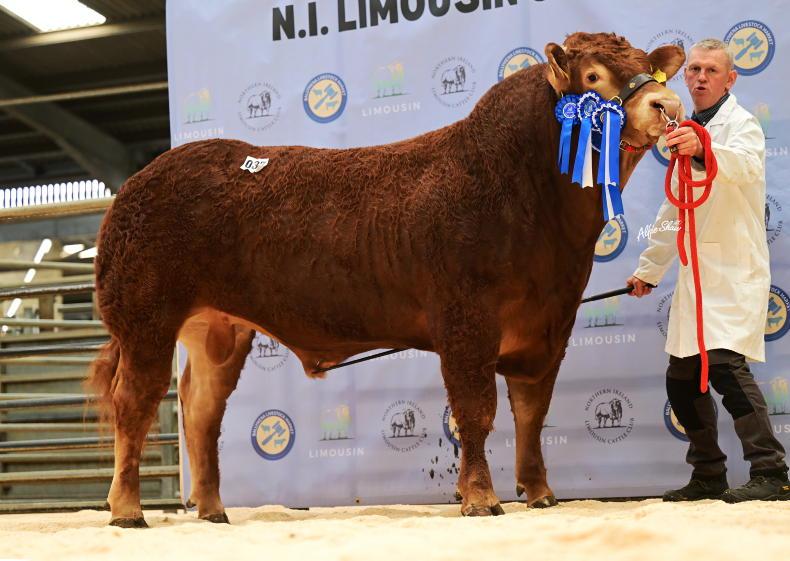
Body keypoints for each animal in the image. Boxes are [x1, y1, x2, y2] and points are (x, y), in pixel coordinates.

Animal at [88, 32, 684, 527]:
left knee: (202, 412)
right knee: (134, 404)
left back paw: (212, 510)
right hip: (145, 317)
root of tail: (139, 181)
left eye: (651, 70)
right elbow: (477, 411)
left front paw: (539, 494)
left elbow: (532, 415)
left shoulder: (549, 326)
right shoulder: (465, 321)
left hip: (219, 330)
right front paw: (480, 499)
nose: (669, 106)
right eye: (593, 77)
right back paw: (127, 510)